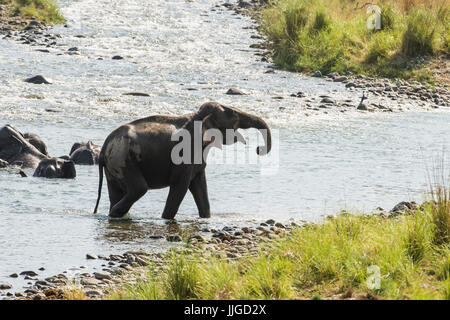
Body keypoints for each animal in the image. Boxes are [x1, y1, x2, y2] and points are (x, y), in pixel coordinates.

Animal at [93, 101, 272, 219]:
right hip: (123, 160)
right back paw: (115, 215)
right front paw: (166, 219)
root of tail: (103, 149)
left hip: (114, 165)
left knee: (116, 192)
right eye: (233, 114)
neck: (197, 117)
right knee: (139, 188)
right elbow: (181, 186)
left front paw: (206, 218)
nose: (258, 149)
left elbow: (200, 187)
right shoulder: (184, 155)